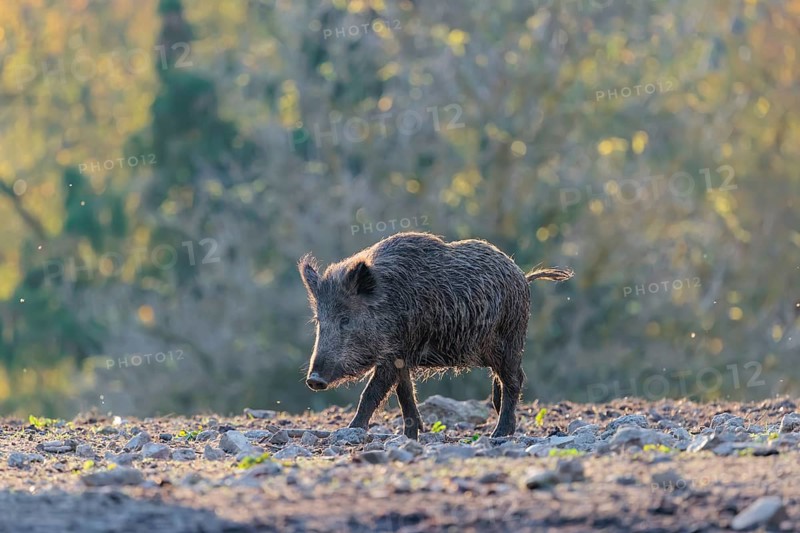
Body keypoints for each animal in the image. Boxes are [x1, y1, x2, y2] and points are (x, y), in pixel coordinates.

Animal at [298, 232, 573, 439]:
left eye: (345, 319)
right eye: (319, 321)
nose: (313, 380)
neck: (390, 303)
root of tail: (523, 277)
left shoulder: (394, 353)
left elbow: (372, 392)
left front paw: (351, 429)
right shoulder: (402, 355)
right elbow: (405, 394)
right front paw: (412, 435)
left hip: (509, 340)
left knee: (515, 379)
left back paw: (499, 434)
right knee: (504, 380)